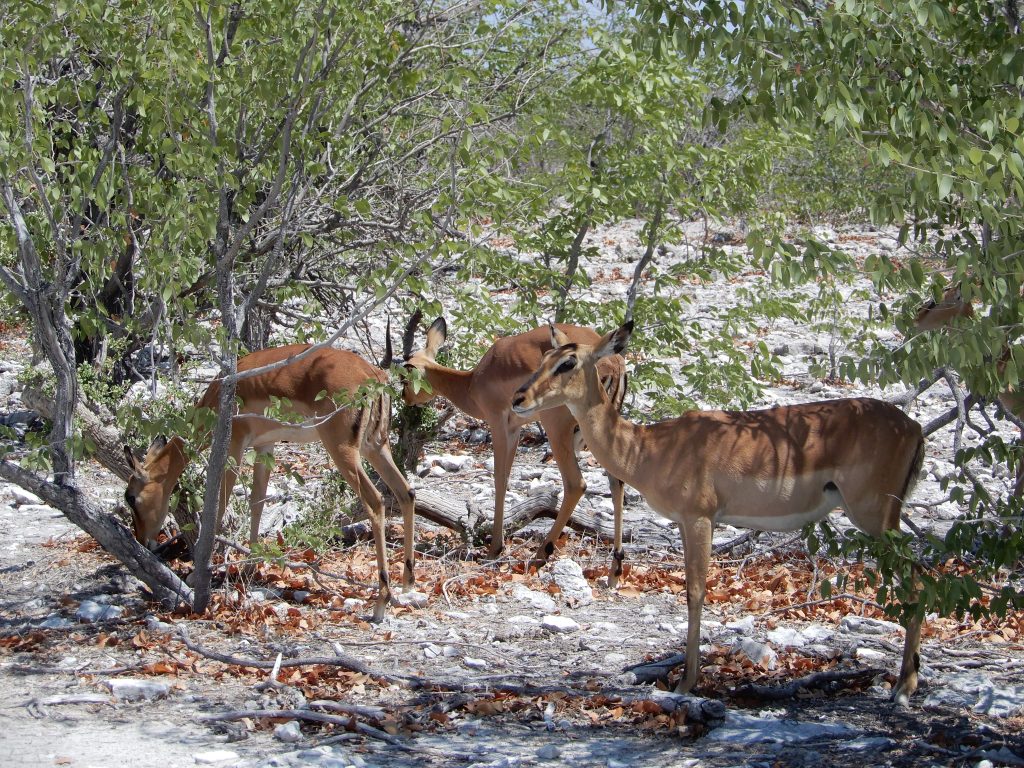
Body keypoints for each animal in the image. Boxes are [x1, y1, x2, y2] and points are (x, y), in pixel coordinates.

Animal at [124, 344, 417, 622]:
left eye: (131, 497)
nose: (142, 540)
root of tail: (374, 375)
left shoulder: (233, 447)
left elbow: (219, 506)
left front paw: (196, 575)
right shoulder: (265, 447)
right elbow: (257, 503)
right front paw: (250, 567)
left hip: (343, 450)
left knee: (376, 501)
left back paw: (381, 603)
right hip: (375, 446)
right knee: (406, 492)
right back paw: (407, 585)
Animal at [400, 317, 630, 583]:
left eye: (404, 378)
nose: (406, 398)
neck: (472, 382)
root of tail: (613, 362)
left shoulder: (499, 424)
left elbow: (500, 479)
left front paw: (494, 549)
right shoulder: (516, 430)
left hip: (557, 429)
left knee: (576, 484)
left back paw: (541, 554)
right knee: (617, 482)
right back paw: (615, 570)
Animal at [511, 322, 927, 703]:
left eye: (567, 362)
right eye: (544, 358)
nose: (519, 397)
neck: (649, 448)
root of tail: (913, 427)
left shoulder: (700, 519)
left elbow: (695, 592)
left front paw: (686, 682)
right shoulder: (684, 523)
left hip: (874, 516)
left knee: (919, 576)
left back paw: (904, 688)